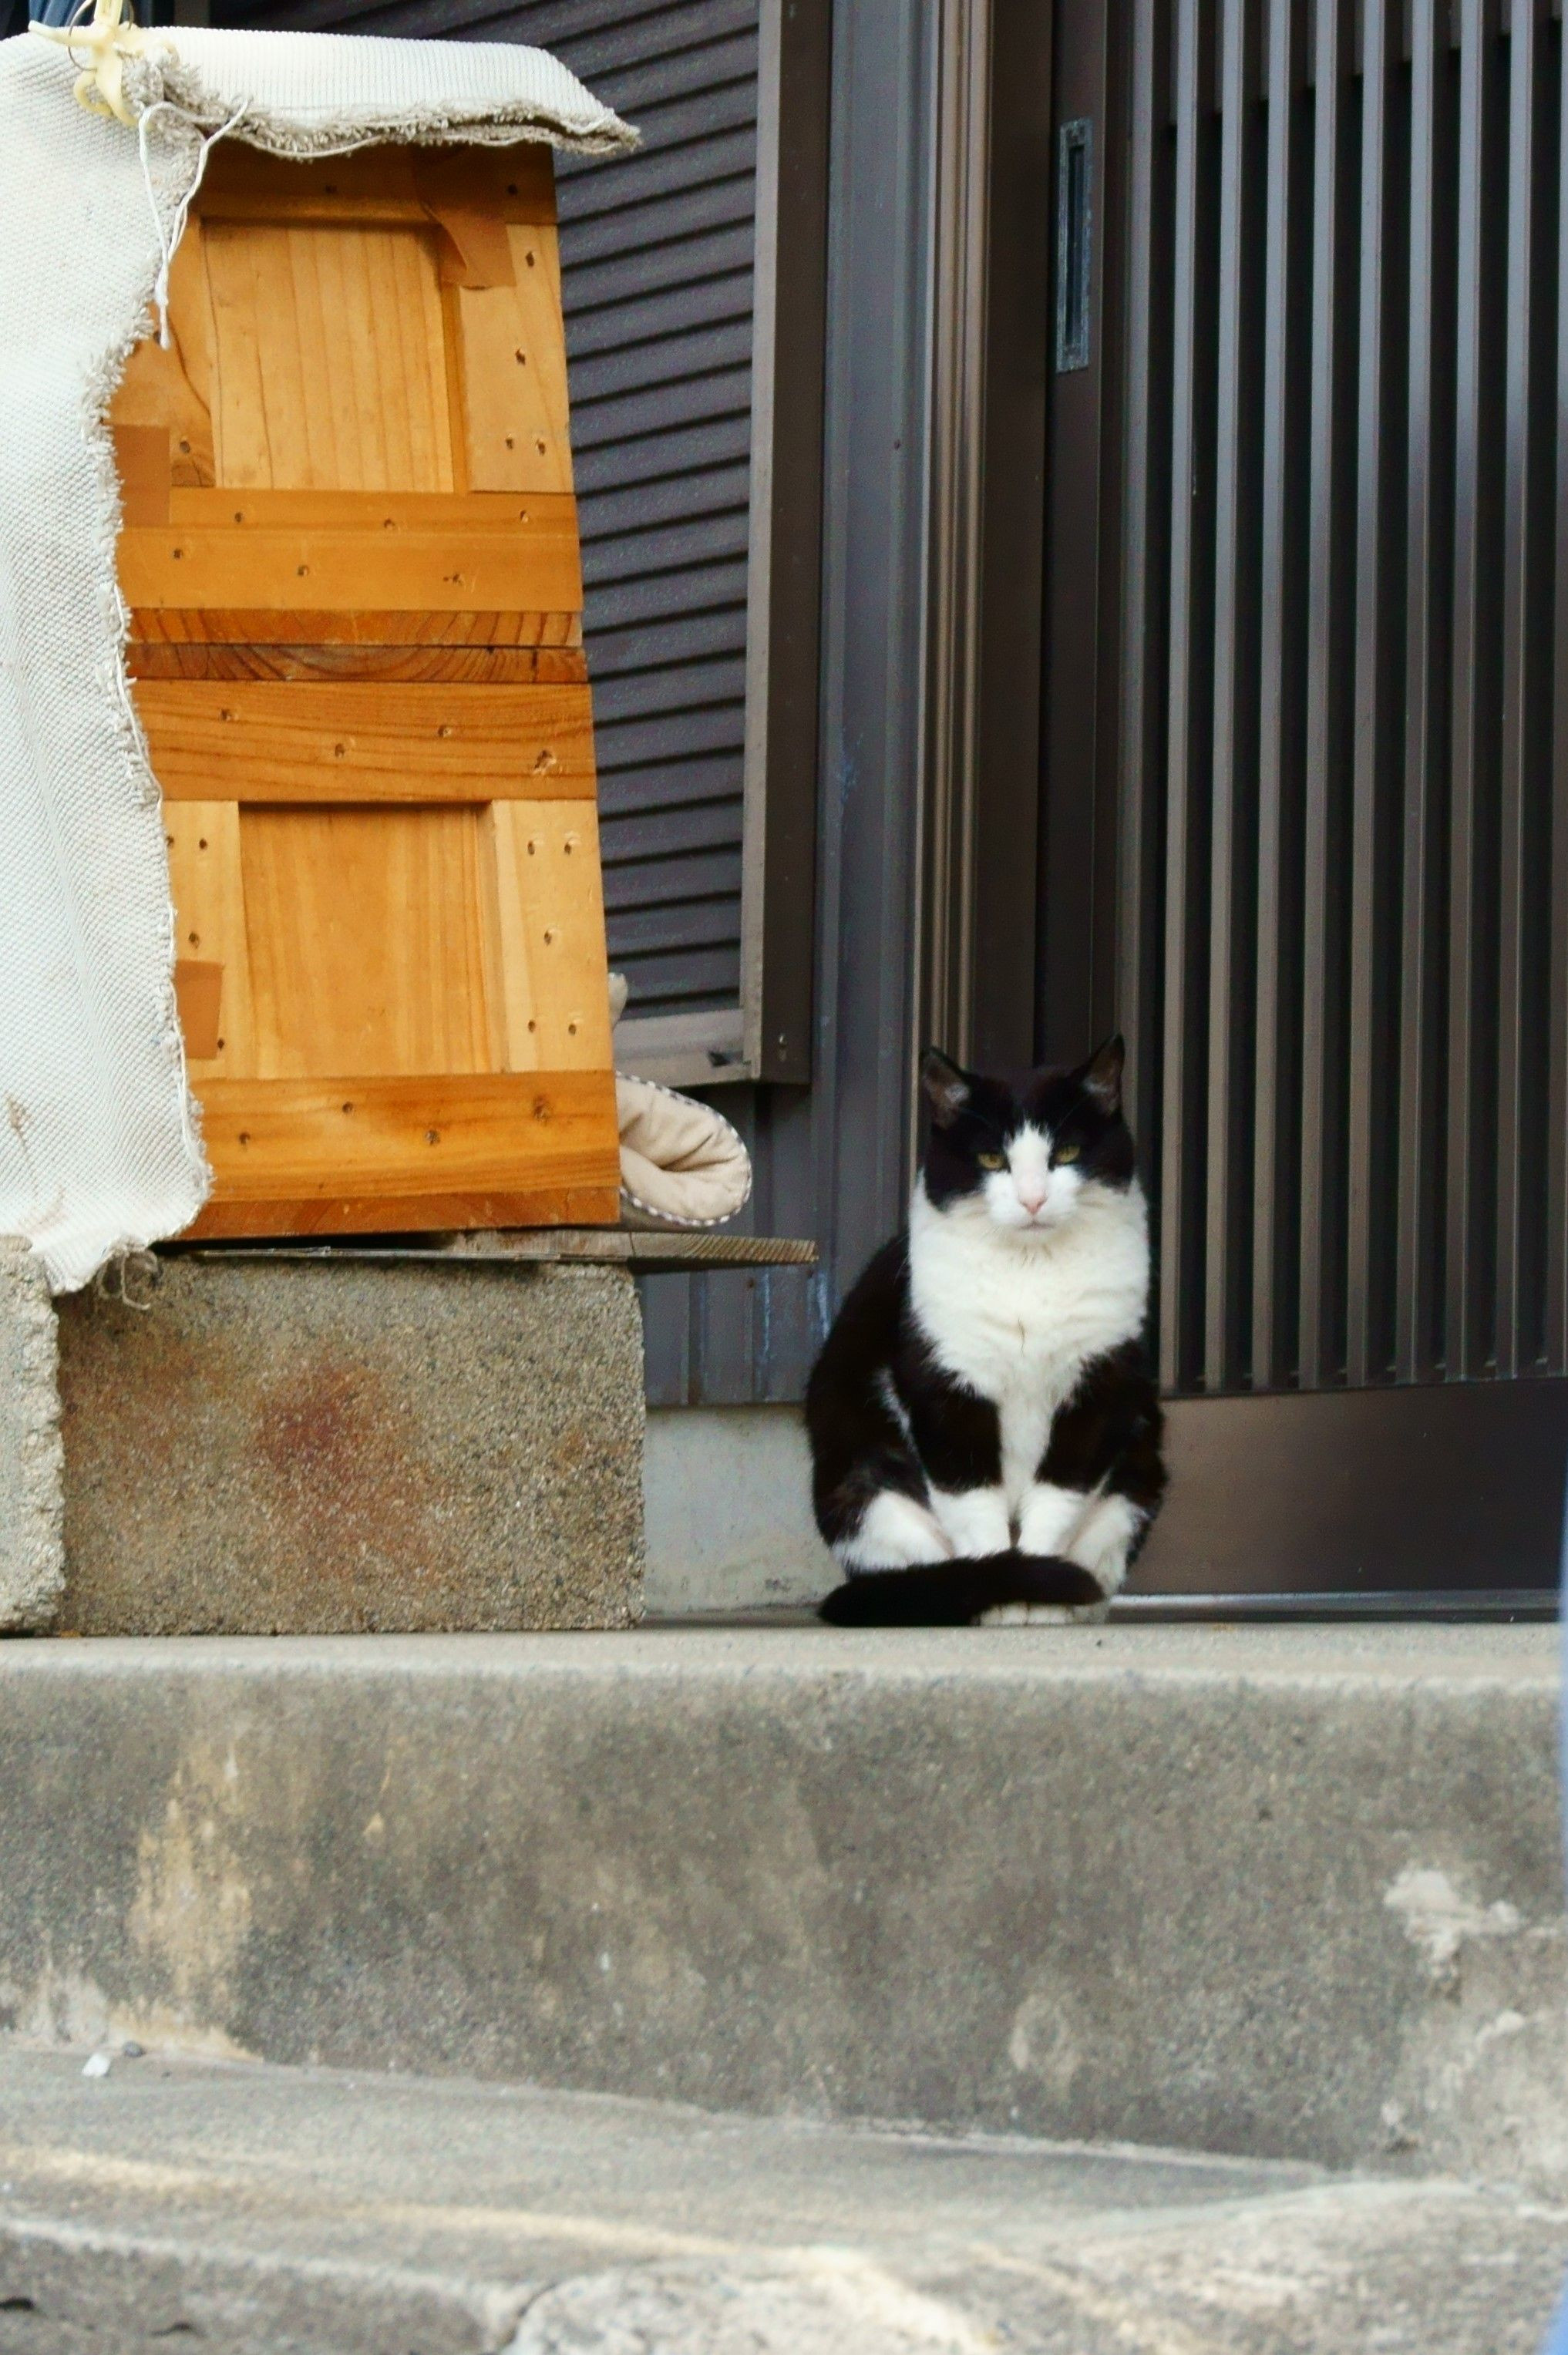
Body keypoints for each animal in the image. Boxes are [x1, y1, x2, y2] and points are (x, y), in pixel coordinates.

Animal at [808, 1036, 1166, 1626]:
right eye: (993, 1159)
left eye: (1068, 1152)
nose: (1033, 1199)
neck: (1030, 1269)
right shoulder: (944, 1388)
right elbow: (975, 1508)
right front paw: (1004, 1598)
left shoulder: (1101, 1384)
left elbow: (1058, 1497)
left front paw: (1037, 1599)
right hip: (863, 1492)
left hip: (1138, 1475)